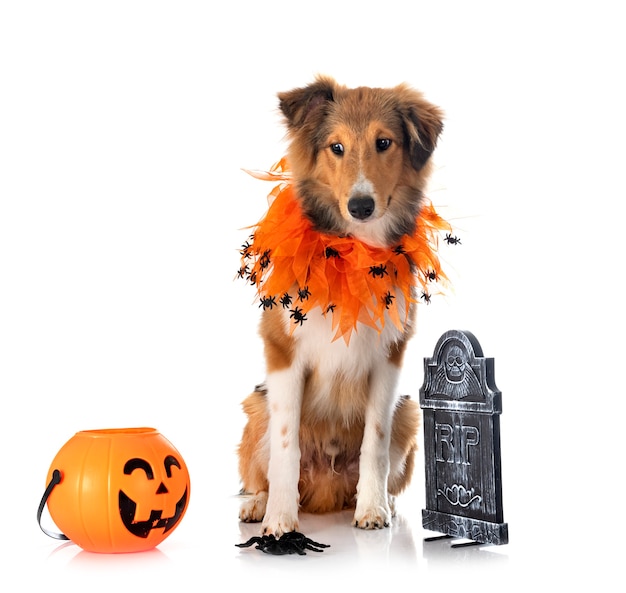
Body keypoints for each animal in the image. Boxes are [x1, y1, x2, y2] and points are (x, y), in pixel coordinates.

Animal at [234, 75, 444, 536]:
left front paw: (373, 508)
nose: (360, 206)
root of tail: (324, 489)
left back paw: (383, 502)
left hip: (409, 412)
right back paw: (259, 504)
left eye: (384, 143)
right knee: (264, 473)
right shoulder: (284, 353)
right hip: (256, 409)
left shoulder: (389, 357)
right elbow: (286, 447)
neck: (353, 253)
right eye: (336, 147)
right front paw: (280, 520)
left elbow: (374, 443)